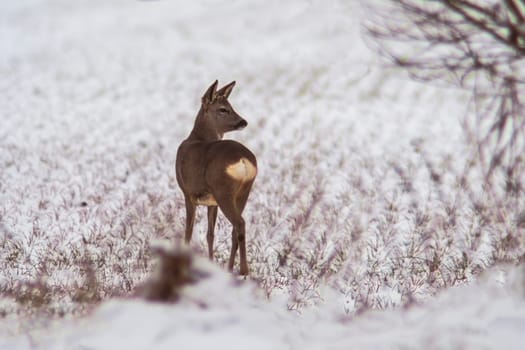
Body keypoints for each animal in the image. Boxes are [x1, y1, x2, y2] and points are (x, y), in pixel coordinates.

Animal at [175, 80, 256, 274]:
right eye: (223, 109)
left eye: (228, 107)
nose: (243, 121)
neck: (197, 138)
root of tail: (243, 160)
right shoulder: (211, 202)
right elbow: (210, 234)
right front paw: (210, 263)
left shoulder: (188, 193)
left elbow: (188, 232)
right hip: (243, 192)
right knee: (236, 228)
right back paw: (230, 269)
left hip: (223, 190)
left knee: (239, 223)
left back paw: (243, 270)